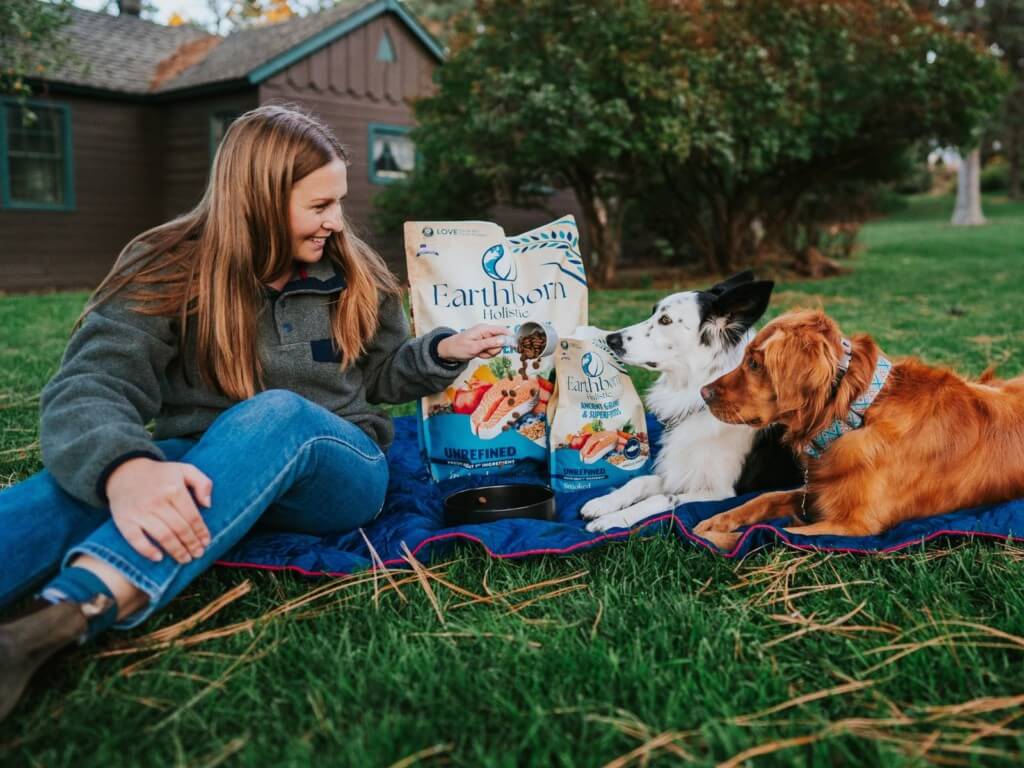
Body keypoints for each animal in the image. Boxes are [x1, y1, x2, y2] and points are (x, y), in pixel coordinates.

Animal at [692, 309, 1024, 548]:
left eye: (754, 364)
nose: (703, 392)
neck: (856, 414)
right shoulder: (817, 491)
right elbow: (765, 498)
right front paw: (718, 521)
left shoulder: (856, 525)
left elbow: (773, 535)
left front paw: (718, 536)